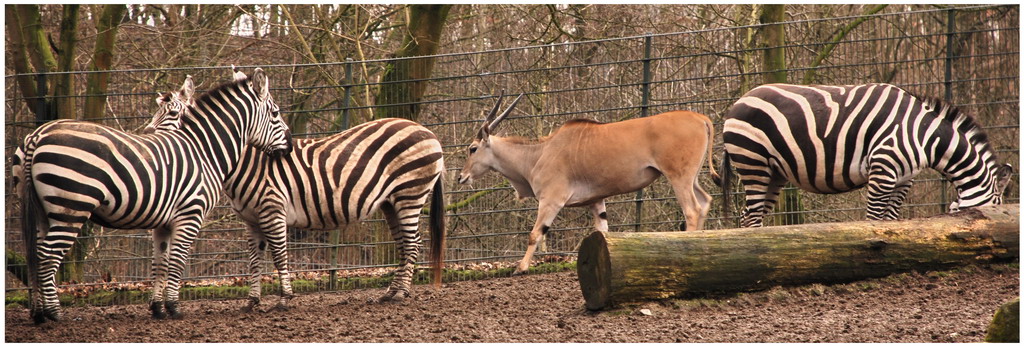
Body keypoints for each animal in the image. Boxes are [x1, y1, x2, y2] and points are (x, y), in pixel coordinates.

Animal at [18, 68, 294, 323]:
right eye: (276, 113)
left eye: (170, 113)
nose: (290, 145)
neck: (204, 151)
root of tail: (38, 134)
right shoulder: (190, 213)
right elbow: (177, 260)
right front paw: (174, 307)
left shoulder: (163, 222)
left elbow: (160, 263)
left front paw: (158, 309)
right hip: (70, 208)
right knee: (47, 256)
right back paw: (55, 313)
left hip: (43, 211)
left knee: (35, 255)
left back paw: (39, 313)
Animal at [142, 68, 446, 309]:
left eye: (171, 113)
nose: (145, 136)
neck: (247, 164)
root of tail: (427, 131)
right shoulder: (251, 220)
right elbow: (255, 260)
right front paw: (252, 301)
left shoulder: (273, 211)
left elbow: (279, 255)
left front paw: (284, 299)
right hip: (390, 202)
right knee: (403, 243)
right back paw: (391, 292)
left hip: (410, 194)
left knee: (413, 243)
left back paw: (401, 293)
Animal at [460, 93, 716, 272]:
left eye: (472, 149)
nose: (462, 177)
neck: (538, 154)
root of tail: (701, 118)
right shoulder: (597, 202)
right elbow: (603, 231)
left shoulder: (551, 201)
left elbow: (535, 233)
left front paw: (521, 267)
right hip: (691, 177)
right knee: (704, 202)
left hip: (679, 177)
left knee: (692, 210)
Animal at [720, 82, 1015, 227]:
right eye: (995, 210)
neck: (925, 135)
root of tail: (739, 100)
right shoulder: (883, 169)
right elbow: (873, 221)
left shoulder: (904, 179)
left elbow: (890, 221)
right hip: (753, 162)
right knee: (752, 217)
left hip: (774, 172)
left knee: (749, 216)